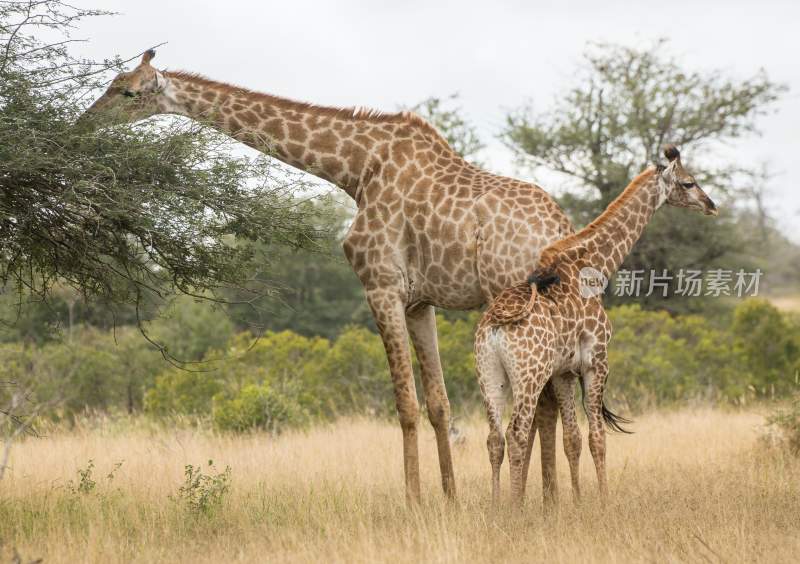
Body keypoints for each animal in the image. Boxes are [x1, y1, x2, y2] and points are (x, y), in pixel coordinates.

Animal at [83, 50, 576, 504]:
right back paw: (551, 499)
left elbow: (405, 403)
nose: (83, 123)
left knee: (540, 402)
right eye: (112, 83)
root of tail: (560, 227)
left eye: (127, 91)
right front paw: (450, 499)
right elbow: (438, 403)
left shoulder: (380, 285)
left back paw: (535, 500)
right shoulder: (419, 301)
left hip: (510, 300)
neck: (356, 170)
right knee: (549, 400)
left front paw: (414, 501)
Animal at [476, 144, 720, 502]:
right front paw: (604, 501)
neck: (594, 266)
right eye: (689, 182)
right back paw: (513, 507)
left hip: (491, 374)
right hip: (528, 375)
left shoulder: (562, 371)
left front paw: (578, 502)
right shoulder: (596, 361)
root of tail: (494, 326)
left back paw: (496, 506)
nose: (710, 205)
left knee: (494, 438)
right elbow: (597, 438)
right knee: (516, 433)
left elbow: (572, 439)